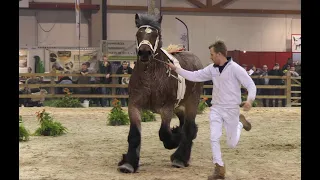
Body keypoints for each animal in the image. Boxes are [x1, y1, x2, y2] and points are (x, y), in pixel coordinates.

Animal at [117, 13, 202, 173]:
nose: (144, 52)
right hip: (179, 106)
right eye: (138, 33)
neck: (151, 77)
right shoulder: (134, 106)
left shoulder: (166, 108)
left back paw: (180, 158)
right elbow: (135, 135)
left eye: (156, 34)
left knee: (188, 128)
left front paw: (174, 140)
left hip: (192, 102)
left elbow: (164, 133)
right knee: (184, 124)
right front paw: (129, 163)